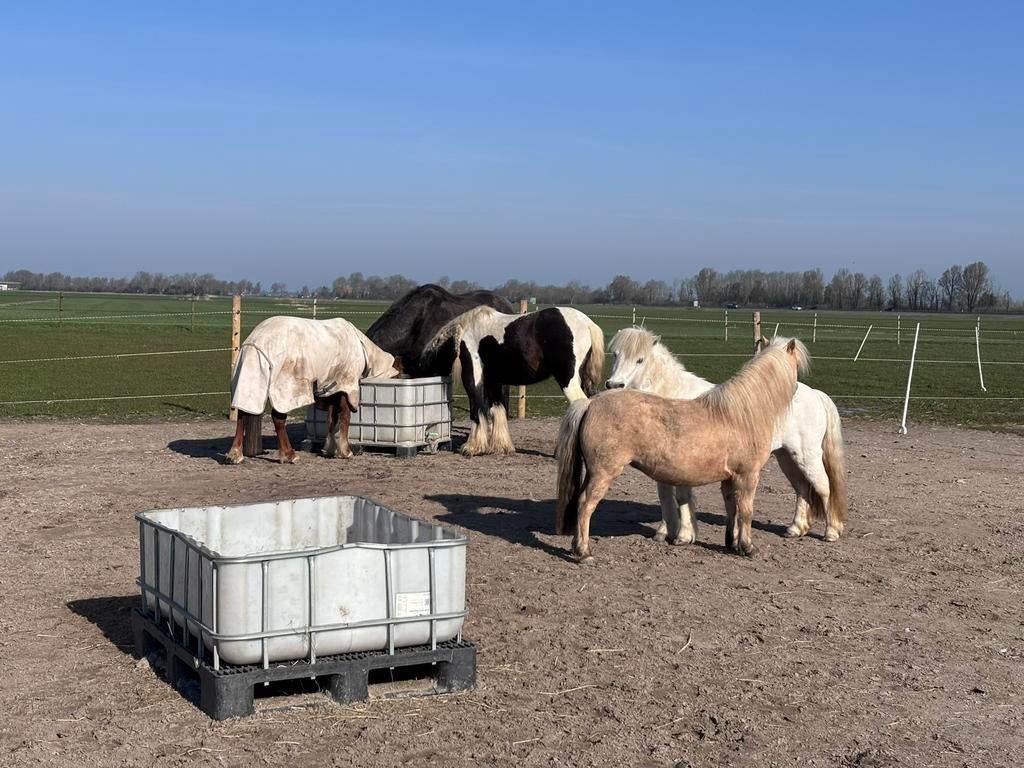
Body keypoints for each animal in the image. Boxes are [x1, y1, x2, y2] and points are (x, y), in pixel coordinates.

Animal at [226, 316, 400, 464]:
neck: (362, 347)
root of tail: (255, 343)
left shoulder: (330, 388)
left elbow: (331, 418)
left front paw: (329, 449)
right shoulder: (346, 385)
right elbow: (345, 415)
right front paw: (345, 451)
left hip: (251, 379)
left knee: (243, 414)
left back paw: (235, 454)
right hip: (285, 390)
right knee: (278, 418)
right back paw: (289, 455)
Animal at [421, 305, 605, 456]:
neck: (466, 333)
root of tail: (587, 323)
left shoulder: (474, 379)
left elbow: (477, 410)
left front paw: (472, 447)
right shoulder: (493, 380)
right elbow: (497, 409)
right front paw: (500, 447)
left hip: (568, 381)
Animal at [555, 337, 809, 563]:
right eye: (796, 367)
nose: (799, 388)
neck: (740, 415)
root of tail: (590, 404)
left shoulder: (729, 478)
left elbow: (732, 510)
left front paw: (732, 544)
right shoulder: (747, 475)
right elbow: (746, 511)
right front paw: (748, 548)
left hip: (592, 472)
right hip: (603, 473)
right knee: (585, 505)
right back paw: (584, 552)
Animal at [605, 327, 847, 544]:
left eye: (640, 360)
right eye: (615, 355)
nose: (614, 385)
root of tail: (815, 394)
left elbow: (682, 497)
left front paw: (684, 535)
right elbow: (665, 496)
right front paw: (664, 533)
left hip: (807, 456)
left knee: (824, 487)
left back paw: (831, 532)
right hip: (786, 456)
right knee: (802, 488)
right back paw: (796, 529)